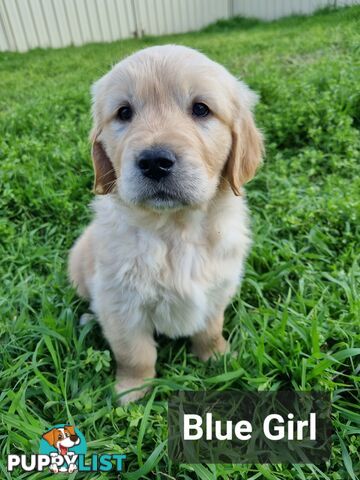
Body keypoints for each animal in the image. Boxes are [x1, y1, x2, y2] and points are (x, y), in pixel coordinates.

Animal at [69, 45, 262, 404]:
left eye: (201, 109)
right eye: (124, 113)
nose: (155, 161)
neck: (176, 230)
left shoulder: (218, 289)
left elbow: (210, 329)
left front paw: (217, 358)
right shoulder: (121, 304)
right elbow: (135, 353)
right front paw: (132, 392)